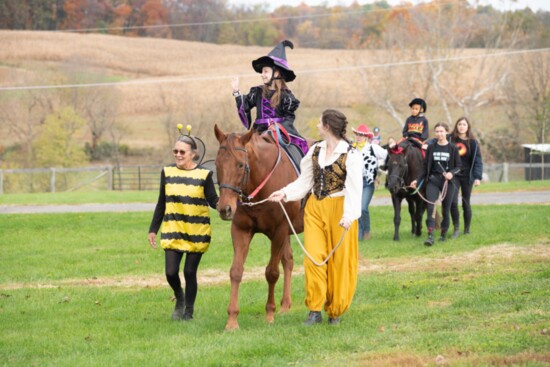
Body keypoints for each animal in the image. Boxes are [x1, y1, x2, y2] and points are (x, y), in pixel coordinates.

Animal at [215, 125, 306, 332]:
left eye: (240, 165)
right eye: (217, 164)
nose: (225, 208)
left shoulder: (279, 231)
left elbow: (271, 273)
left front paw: (269, 314)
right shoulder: (240, 230)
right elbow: (236, 271)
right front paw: (232, 319)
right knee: (288, 261)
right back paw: (285, 305)